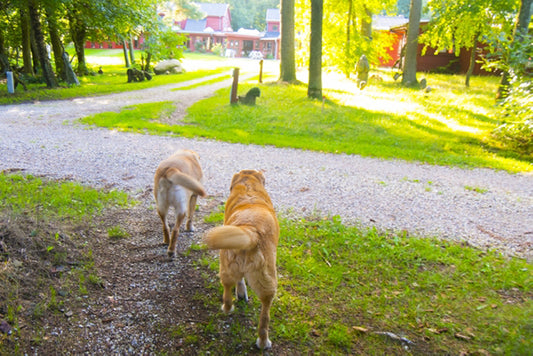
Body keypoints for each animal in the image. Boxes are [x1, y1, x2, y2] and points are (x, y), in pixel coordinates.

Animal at [203, 170, 278, 350]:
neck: (248, 186)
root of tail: (250, 229)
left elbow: (240, 282)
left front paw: (241, 293)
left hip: (228, 268)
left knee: (229, 291)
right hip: (267, 283)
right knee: (264, 314)